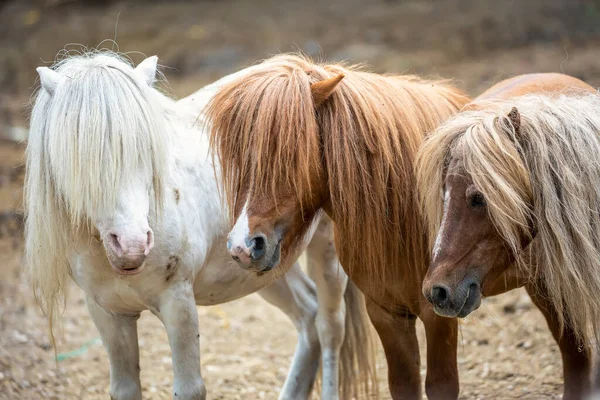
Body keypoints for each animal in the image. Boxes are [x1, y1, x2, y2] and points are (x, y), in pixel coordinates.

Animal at [27, 51, 376, 400]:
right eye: (77, 156)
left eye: (147, 148)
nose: (131, 245)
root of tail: (316, 75)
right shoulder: (109, 313)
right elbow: (124, 389)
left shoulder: (178, 303)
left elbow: (189, 389)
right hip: (264, 261)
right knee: (308, 314)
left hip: (325, 252)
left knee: (330, 328)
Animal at [209, 54, 472, 400]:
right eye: (237, 158)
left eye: (291, 153)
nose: (242, 247)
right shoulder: (386, 312)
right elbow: (405, 385)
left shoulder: (439, 315)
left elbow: (441, 386)